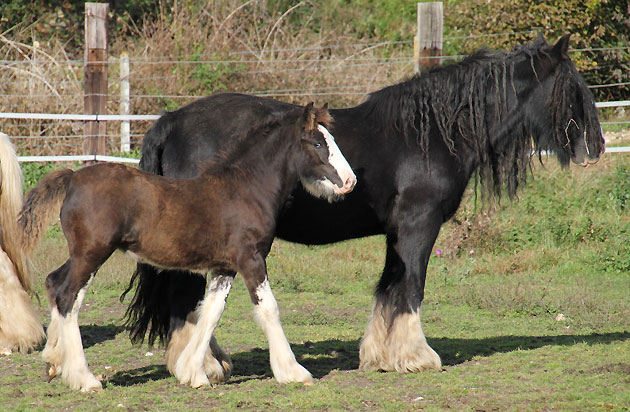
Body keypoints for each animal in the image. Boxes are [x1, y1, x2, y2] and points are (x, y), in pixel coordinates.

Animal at [124, 34, 608, 376]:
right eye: (572, 89)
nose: (598, 146)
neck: (431, 134)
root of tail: (172, 121)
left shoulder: (399, 231)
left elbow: (388, 287)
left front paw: (380, 355)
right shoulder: (419, 227)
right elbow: (411, 287)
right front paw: (417, 356)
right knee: (183, 299)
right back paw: (206, 366)